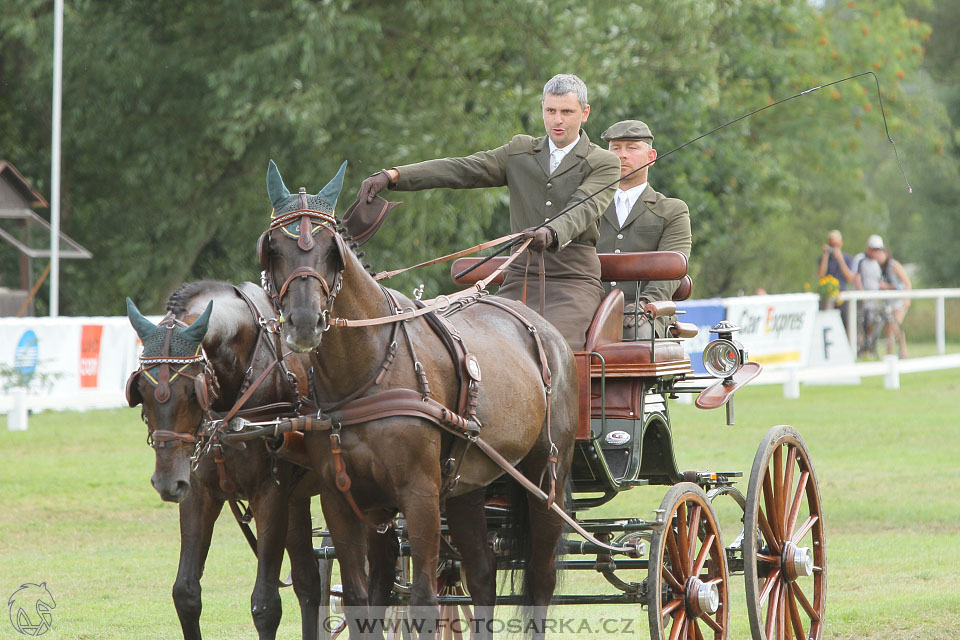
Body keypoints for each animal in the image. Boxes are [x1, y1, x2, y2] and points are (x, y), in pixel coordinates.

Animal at [125, 284, 322, 640]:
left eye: (193, 392)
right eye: (142, 391)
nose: (165, 482)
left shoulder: (270, 495)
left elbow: (266, 605)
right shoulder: (197, 492)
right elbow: (186, 593)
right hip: (297, 499)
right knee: (308, 582)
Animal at [256, 164, 576, 636]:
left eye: (332, 251)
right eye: (273, 249)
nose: (304, 322)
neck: (366, 372)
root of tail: (547, 330)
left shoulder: (420, 495)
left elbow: (423, 600)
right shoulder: (344, 498)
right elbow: (362, 599)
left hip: (543, 477)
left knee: (540, 580)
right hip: (467, 484)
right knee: (481, 574)